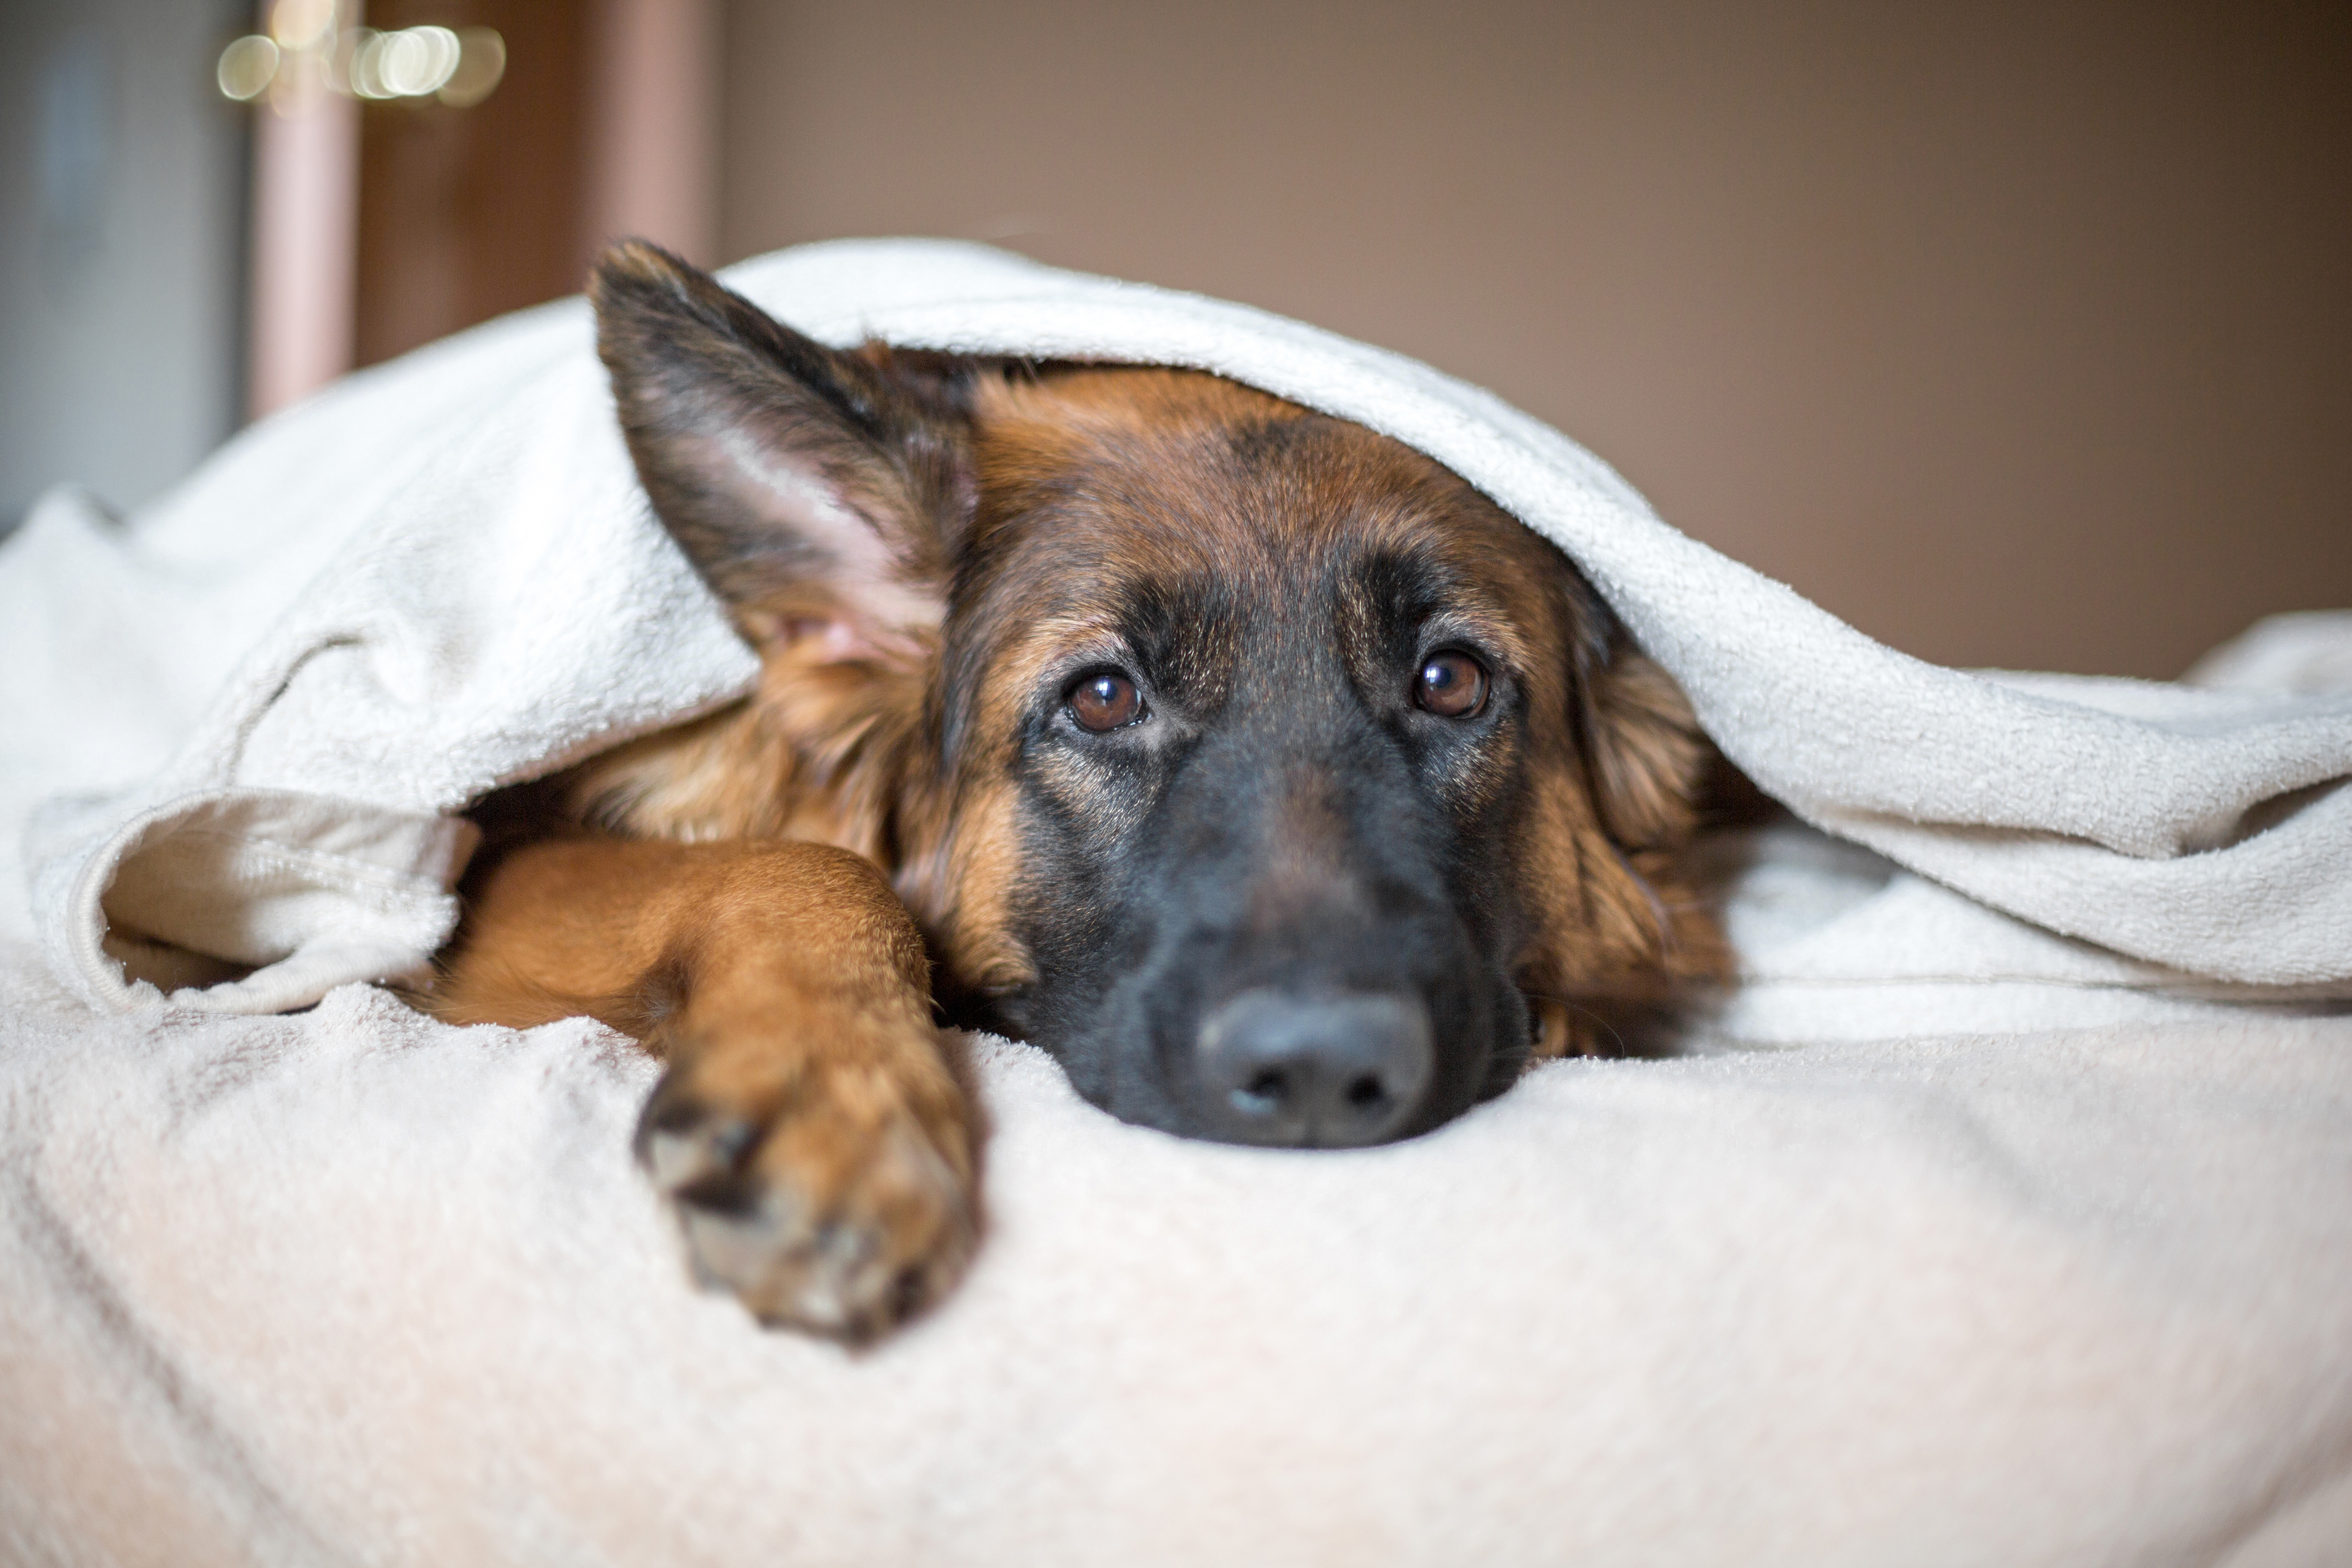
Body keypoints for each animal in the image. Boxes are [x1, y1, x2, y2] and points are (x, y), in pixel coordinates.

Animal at [423, 239, 1722, 1345]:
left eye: (1451, 681)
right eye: (1101, 698)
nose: (1318, 1071)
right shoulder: (489, 881)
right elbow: (805, 862)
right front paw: (835, 1090)